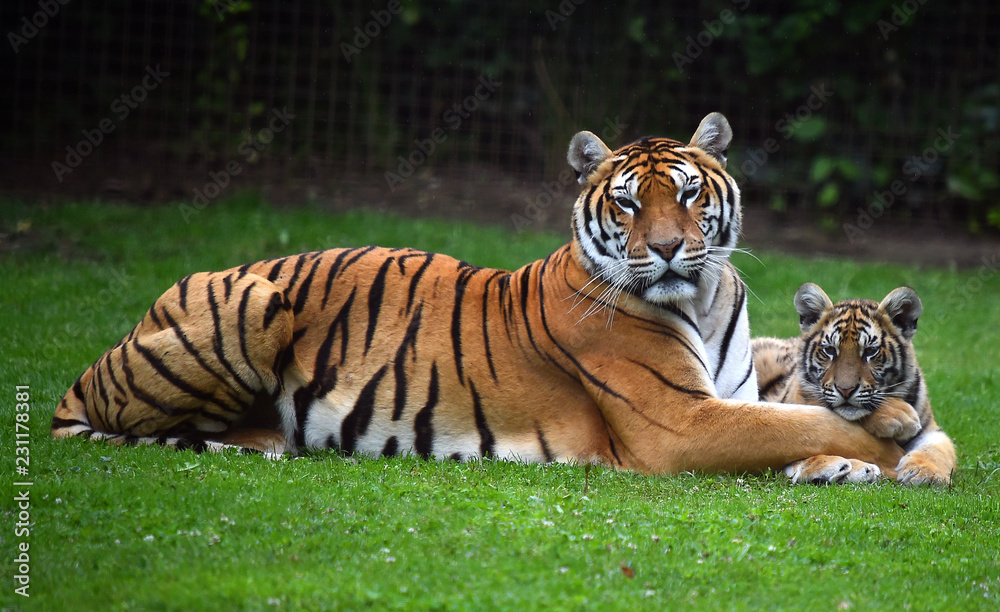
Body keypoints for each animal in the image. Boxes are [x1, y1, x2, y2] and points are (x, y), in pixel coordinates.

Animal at [52, 112, 904, 479]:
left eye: (691, 194)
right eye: (629, 204)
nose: (665, 248)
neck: (702, 297)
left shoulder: (728, 398)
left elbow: (793, 423)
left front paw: (841, 464)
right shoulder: (682, 423)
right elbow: (800, 419)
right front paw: (886, 433)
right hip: (256, 302)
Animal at [752, 283, 956, 486]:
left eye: (870, 351)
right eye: (829, 350)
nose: (845, 390)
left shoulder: (931, 430)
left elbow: (935, 451)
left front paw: (926, 474)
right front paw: (899, 416)